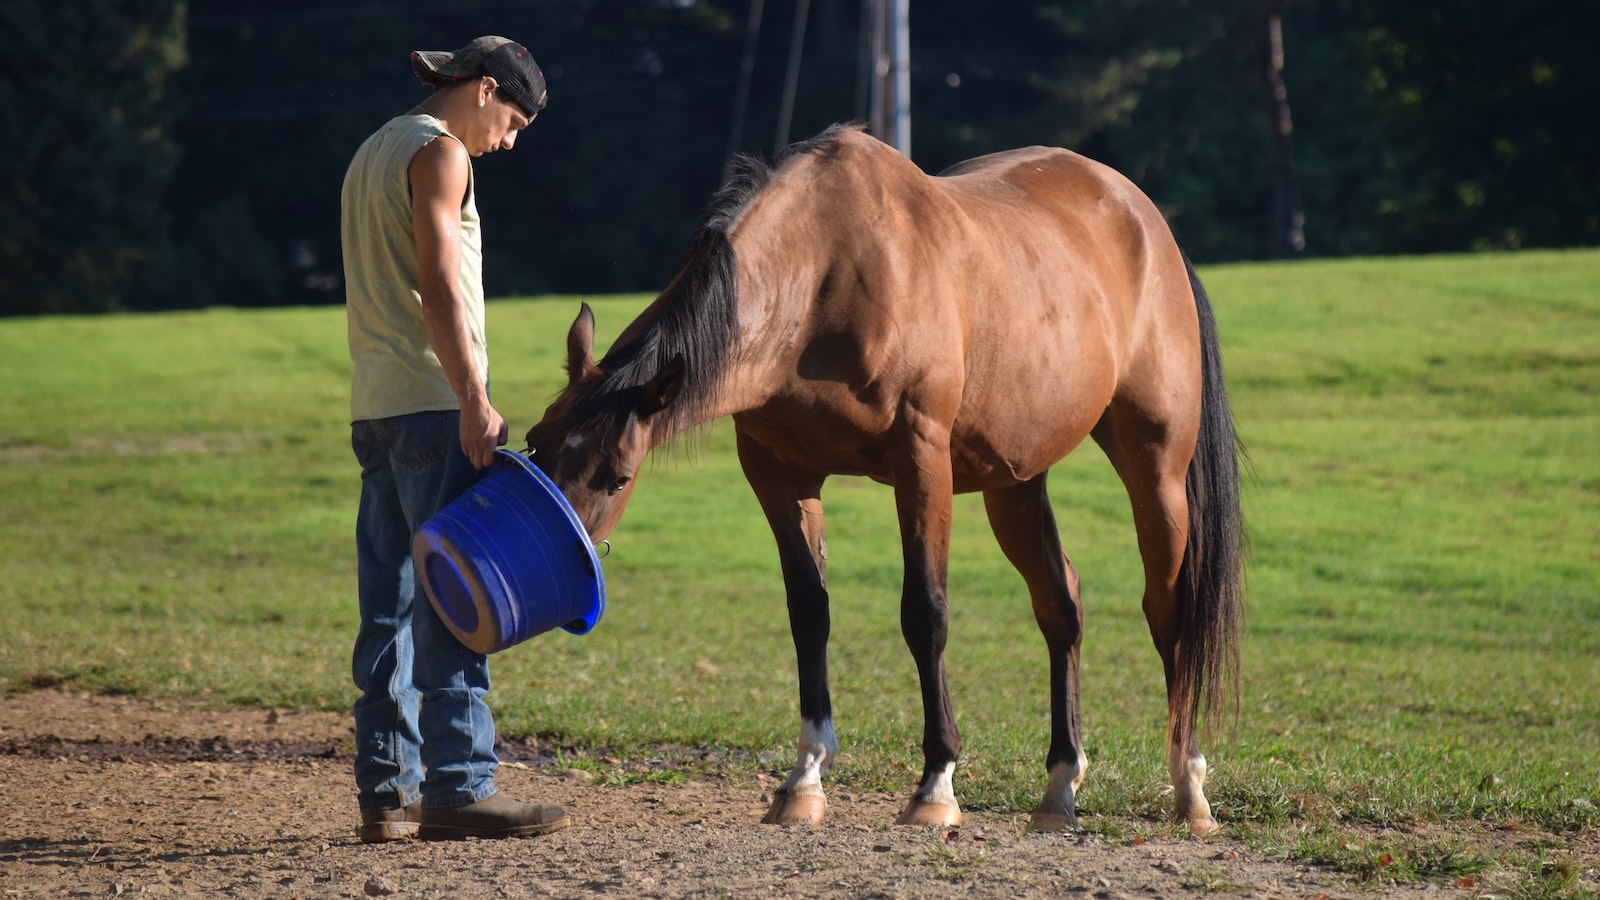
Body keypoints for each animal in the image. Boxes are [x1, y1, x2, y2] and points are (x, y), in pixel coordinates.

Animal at [524, 122, 1248, 832]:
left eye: (617, 477)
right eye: (535, 445)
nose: (558, 562)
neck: (827, 274)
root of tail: (1145, 220)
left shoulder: (920, 459)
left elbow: (925, 612)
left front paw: (936, 785)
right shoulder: (779, 472)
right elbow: (809, 613)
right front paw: (805, 779)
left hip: (1155, 469)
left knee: (1168, 609)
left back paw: (1190, 786)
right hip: (1015, 482)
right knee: (1060, 607)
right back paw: (1060, 785)